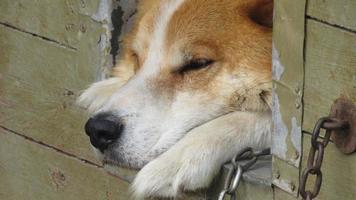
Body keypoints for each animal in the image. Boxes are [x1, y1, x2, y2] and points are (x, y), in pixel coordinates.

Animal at [78, 0, 272, 197]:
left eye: (197, 64)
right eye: (136, 58)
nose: (98, 129)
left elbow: (252, 121)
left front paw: (177, 158)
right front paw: (107, 87)